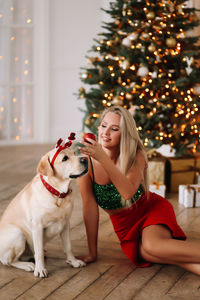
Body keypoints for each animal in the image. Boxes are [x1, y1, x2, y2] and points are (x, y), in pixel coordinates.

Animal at [0, 134, 88, 276]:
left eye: (75, 153)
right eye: (65, 158)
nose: (85, 159)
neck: (57, 194)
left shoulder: (66, 223)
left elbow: (68, 246)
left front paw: (73, 262)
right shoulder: (37, 226)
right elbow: (39, 251)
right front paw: (40, 269)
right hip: (18, 234)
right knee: (8, 261)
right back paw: (28, 265)